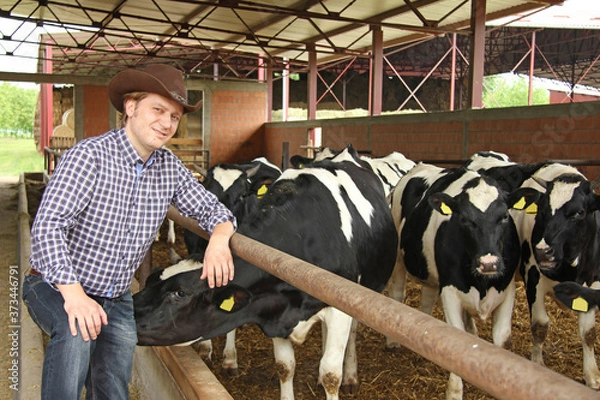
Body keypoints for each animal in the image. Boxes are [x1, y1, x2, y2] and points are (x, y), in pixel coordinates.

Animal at [135, 146, 398, 400]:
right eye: (150, 280)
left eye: (180, 293)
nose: (130, 312)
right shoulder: (275, 308)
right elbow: (285, 367)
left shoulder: (339, 309)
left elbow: (331, 375)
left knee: (351, 335)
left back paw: (351, 376)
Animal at [384, 162, 540, 400]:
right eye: (464, 219)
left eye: (505, 216)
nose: (489, 263)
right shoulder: (450, 290)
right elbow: (455, 339)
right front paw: (454, 392)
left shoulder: (507, 289)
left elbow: (502, 340)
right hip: (399, 259)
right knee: (397, 292)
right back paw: (393, 342)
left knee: (428, 298)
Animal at [512, 162, 600, 388]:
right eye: (542, 211)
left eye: (579, 212)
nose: (543, 251)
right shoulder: (533, 276)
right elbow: (540, 325)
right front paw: (537, 363)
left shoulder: (592, 283)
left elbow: (588, 332)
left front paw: (592, 375)